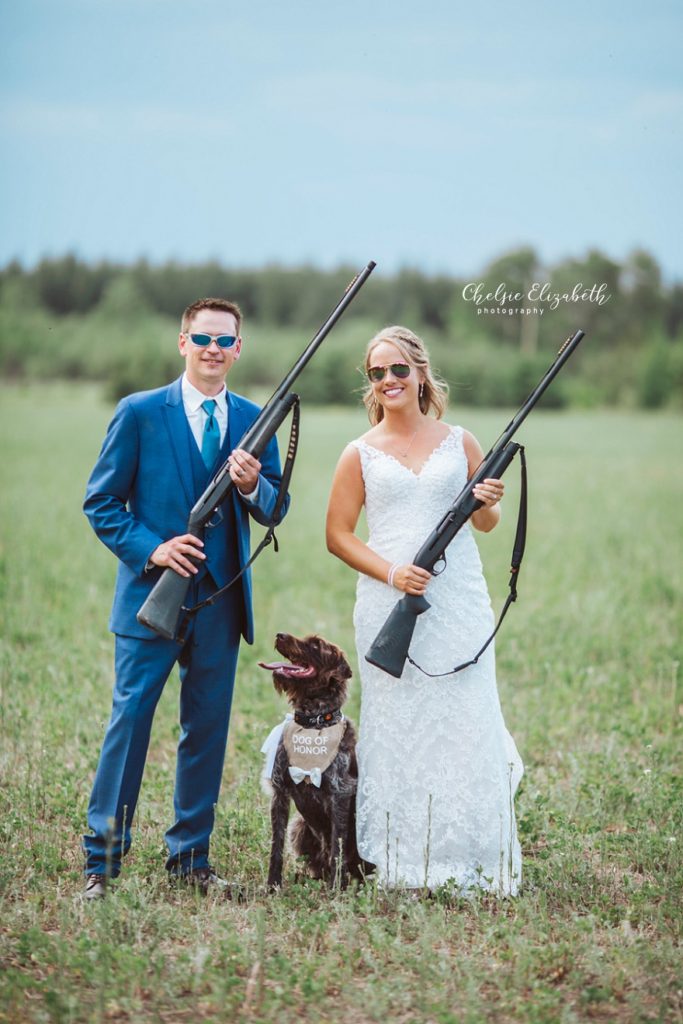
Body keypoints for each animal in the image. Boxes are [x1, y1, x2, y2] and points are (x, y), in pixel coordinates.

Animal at [259, 630, 370, 888]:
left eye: (316, 645)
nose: (280, 635)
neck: (313, 723)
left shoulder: (339, 794)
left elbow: (337, 847)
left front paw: (336, 888)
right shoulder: (280, 792)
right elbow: (276, 846)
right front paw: (273, 885)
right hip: (299, 826)